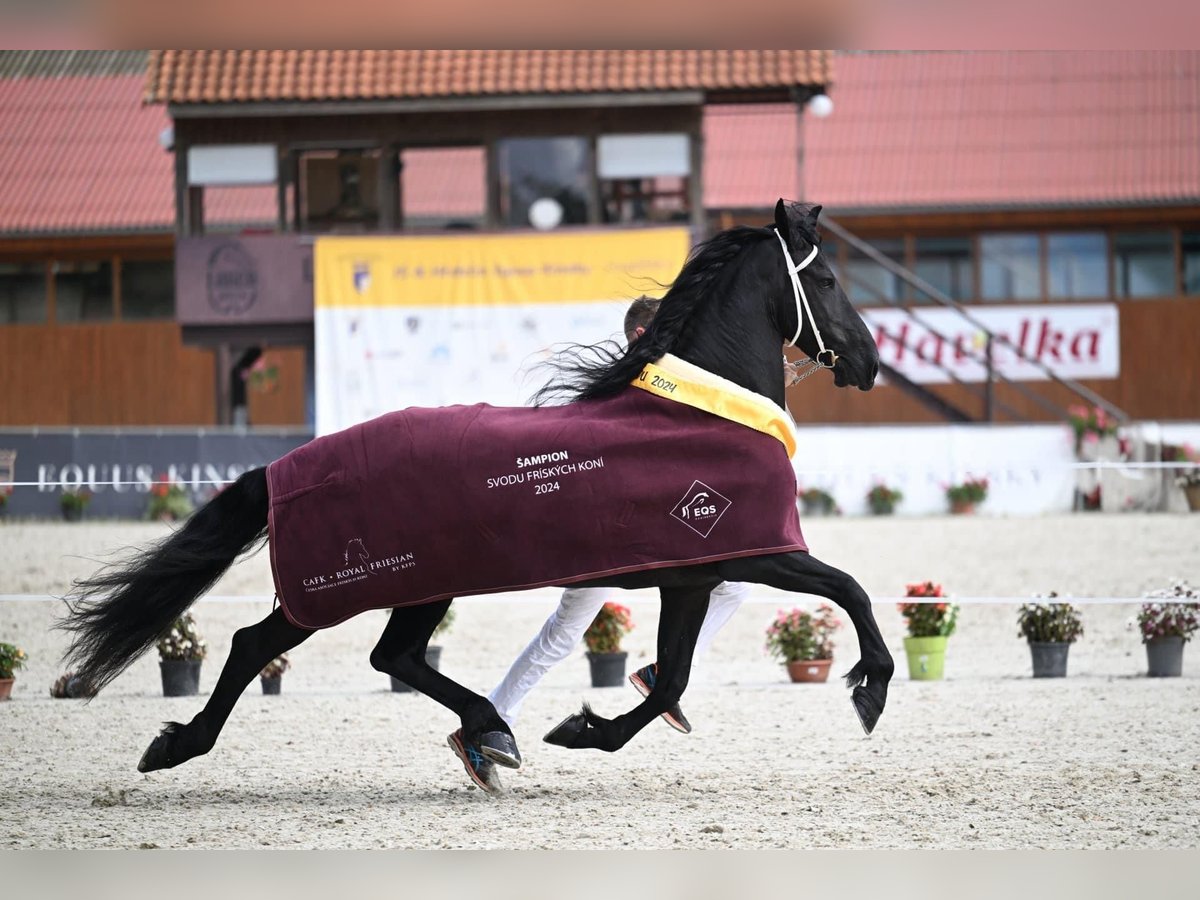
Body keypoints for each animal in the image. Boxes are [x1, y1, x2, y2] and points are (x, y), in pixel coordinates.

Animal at [63, 200, 892, 792]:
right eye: (825, 280)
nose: (869, 362)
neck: (701, 413)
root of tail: (285, 469)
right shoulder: (762, 551)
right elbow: (851, 590)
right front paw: (870, 692)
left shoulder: (692, 575)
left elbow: (672, 681)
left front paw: (583, 730)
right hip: (352, 587)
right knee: (266, 647)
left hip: (414, 586)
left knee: (378, 654)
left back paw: (488, 733)